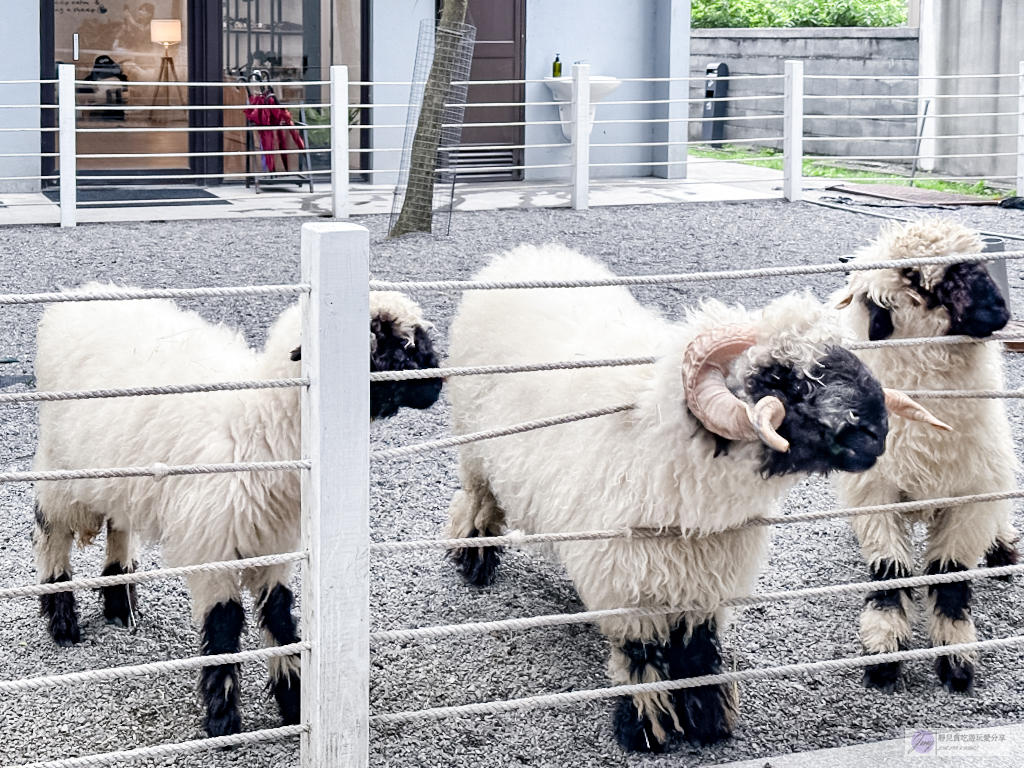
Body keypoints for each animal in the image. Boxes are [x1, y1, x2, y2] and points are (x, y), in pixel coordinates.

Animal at [444, 247, 937, 757]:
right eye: (781, 377)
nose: (876, 431)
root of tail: (525, 254)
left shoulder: (706, 582)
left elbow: (699, 651)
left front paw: (708, 719)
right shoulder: (628, 589)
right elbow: (641, 657)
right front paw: (647, 727)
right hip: (474, 448)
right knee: (478, 498)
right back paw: (474, 560)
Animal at [831, 218, 1015, 696]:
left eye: (978, 263)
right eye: (914, 276)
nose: (997, 312)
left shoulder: (969, 499)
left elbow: (950, 578)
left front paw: (956, 660)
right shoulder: (876, 496)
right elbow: (889, 572)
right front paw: (882, 653)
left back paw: (1004, 550)